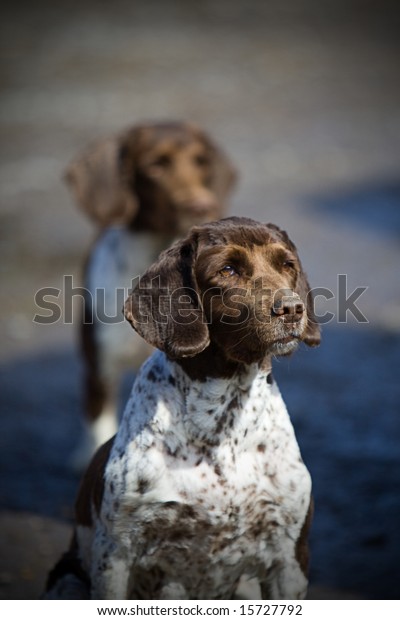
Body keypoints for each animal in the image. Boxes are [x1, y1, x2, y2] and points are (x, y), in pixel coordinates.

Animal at [46, 217, 322, 600]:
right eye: (227, 270)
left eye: (287, 265)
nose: (293, 308)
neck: (221, 420)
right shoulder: (116, 555)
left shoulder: (289, 558)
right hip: (68, 580)